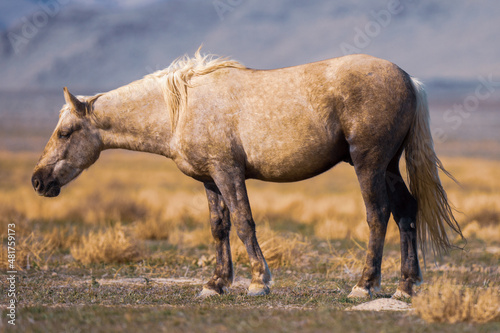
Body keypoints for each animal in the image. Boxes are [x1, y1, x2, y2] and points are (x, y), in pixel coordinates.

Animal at [31, 50, 460, 298]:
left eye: (65, 132)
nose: (38, 181)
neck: (180, 109)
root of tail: (408, 79)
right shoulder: (210, 180)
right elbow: (219, 227)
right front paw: (216, 284)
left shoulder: (228, 173)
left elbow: (243, 222)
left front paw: (258, 281)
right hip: (387, 166)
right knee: (406, 212)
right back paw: (406, 286)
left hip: (369, 164)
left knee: (378, 215)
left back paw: (365, 286)